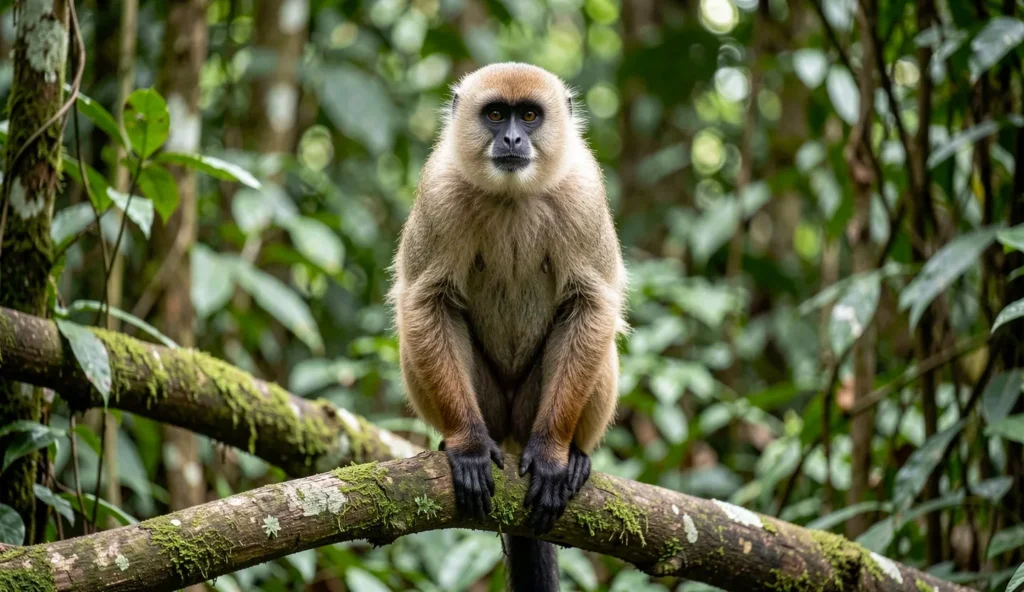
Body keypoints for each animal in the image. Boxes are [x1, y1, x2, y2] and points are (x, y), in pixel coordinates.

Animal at [390, 62, 626, 592]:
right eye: (496, 114)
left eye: (531, 116)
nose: (514, 138)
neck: (512, 198)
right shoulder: (439, 193)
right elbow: (426, 303)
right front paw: (469, 447)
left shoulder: (582, 192)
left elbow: (591, 306)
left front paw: (553, 456)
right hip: (496, 409)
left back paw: (575, 455)